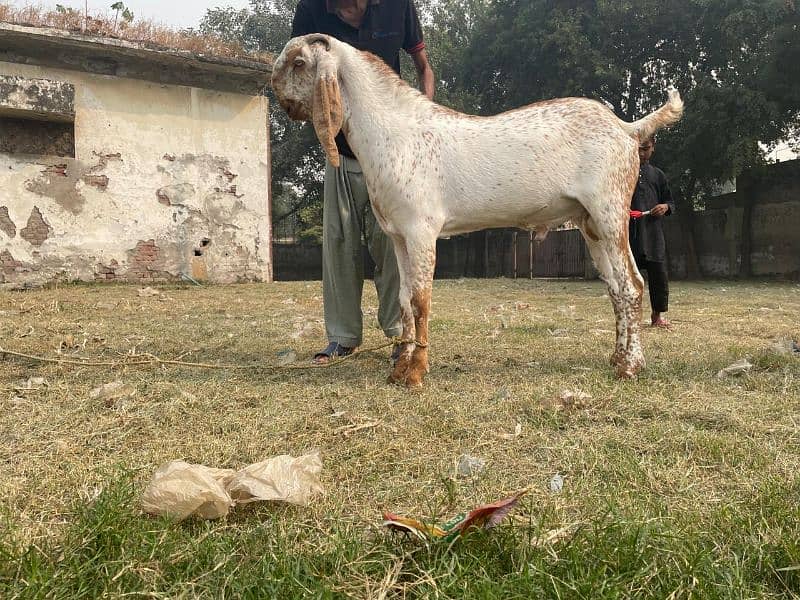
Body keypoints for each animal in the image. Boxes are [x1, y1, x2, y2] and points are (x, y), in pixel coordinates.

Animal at [272, 34, 684, 390]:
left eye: (298, 62)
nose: (276, 93)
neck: (394, 133)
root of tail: (627, 129)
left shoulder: (421, 230)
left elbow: (420, 300)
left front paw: (415, 372)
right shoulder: (398, 235)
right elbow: (404, 301)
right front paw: (399, 369)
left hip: (610, 211)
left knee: (632, 284)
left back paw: (630, 366)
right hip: (589, 223)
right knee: (615, 287)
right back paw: (617, 358)